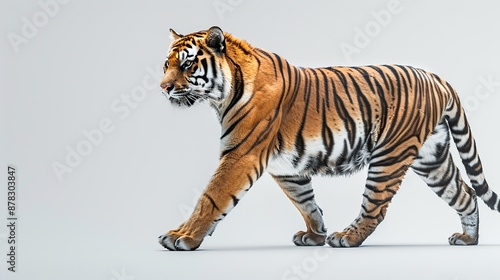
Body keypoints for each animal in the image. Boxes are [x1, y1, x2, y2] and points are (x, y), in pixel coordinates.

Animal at [158, 25, 498, 250]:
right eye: (166, 64)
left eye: (187, 64)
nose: (163, 87)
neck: (223, 94)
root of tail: (435, 77)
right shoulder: (286, 167)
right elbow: (305, 201)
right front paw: (315, 234)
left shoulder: (242, 155)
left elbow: (211, 198)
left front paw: (182, 237)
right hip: (432, 160)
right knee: (465, 193)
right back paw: (468, 239)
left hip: (390, 156)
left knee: (376, 208)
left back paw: (347, 237)